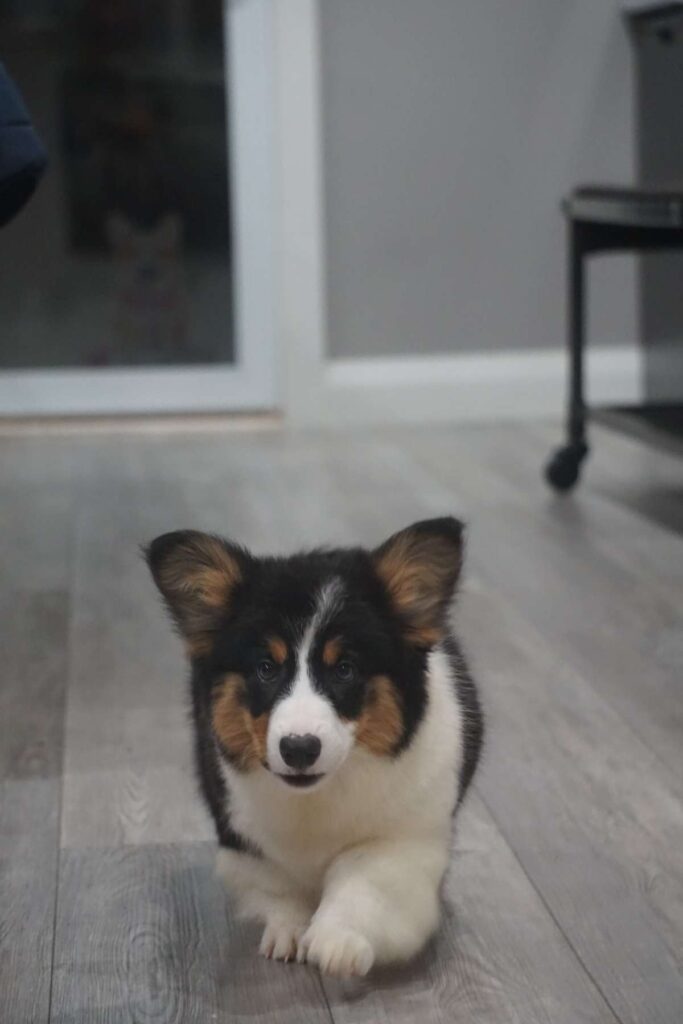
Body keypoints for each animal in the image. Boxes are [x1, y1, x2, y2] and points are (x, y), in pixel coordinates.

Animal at [146, 517, 483, 977]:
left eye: (345, 669)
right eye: (265, 668)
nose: (299, 749)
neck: (319, 796)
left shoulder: (401, 842)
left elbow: (361, 881)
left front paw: (334, 944)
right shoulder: (245, 839)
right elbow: (279, 888)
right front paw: (288, 932)